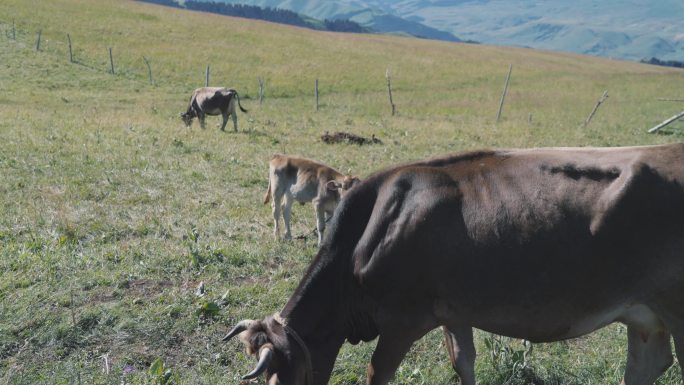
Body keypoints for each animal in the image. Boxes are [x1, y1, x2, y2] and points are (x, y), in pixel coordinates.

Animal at [227, 144, 684, 384]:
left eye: (274, 376)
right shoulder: (453, 311)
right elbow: (462, 361)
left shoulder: (403, 320)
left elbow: (377, 372)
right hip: (646, 317)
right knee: (646, 366)